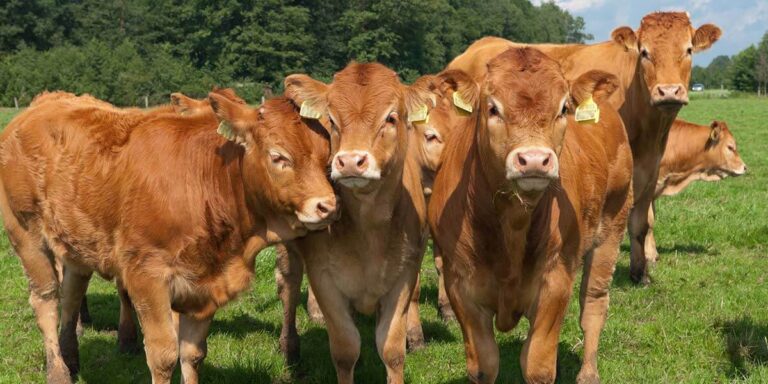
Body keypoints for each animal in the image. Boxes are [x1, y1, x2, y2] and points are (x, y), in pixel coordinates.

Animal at [0, 91, 336, 384]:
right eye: (278, 157)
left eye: (325, 156)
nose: (328, 206)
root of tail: (37, 107)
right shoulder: (147, 277)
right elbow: (162, 356)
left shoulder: (204, 286)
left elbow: (192, 354)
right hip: (27, 237)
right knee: (46, 301)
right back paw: (58, 371)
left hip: (76, 245)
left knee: (71, 293)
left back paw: (70, 357)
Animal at [280, 61, 438, 382]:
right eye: (331, 119)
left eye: (391, 117)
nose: (351, 161)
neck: (369, 232)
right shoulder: (325, 278)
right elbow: (345, 349)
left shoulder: (403, 276)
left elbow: (391, 348)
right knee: (289, 283)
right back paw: (290, 349)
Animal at [428, 48, 632, 384]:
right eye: (492, 108)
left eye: (564, 108)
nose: (534, 160)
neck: (513, 222)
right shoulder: (461, 287)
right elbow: (484, 366)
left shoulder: (555, 281)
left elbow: (538, 366)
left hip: (613, 225)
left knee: (593, 303)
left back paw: (588, 373)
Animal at [448, 11, 724, 284]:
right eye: (644, 52)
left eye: (688, 50)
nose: (668, 91)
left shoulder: (650, 170)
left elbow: (642, 224)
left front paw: (641, 273)